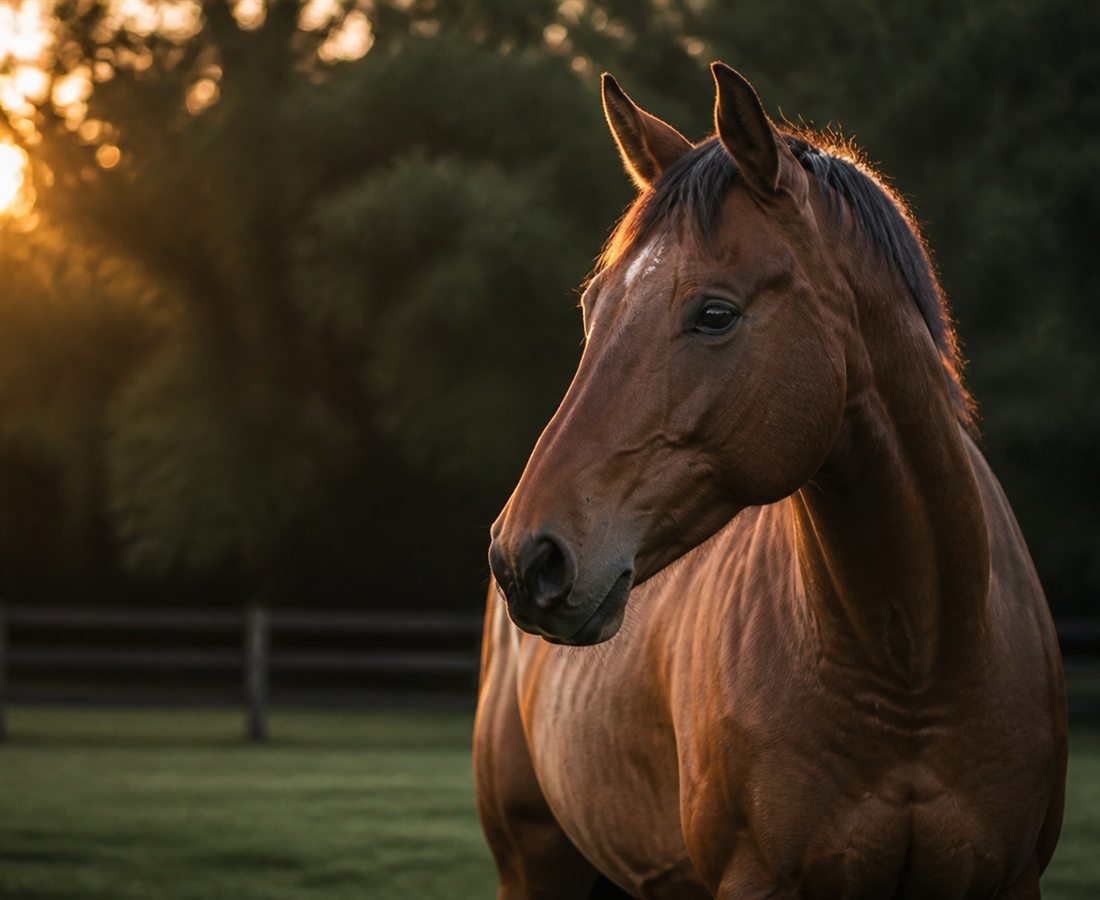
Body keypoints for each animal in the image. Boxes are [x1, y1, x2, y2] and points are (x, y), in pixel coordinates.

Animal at [475, 64, 1067, 899]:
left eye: (715, 314)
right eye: (593, 308)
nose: (526, 558)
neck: (917, 665)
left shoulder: (1011, 878)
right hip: (532, 864)